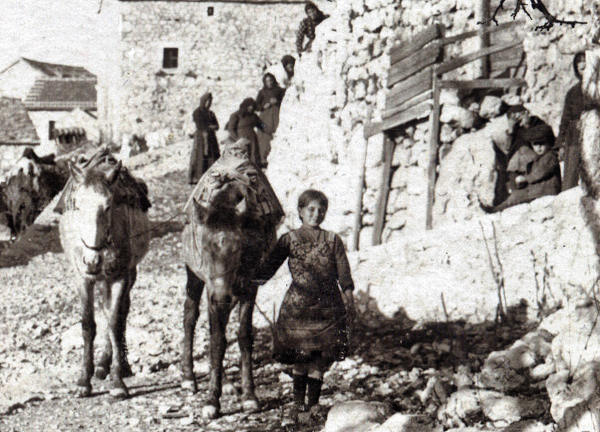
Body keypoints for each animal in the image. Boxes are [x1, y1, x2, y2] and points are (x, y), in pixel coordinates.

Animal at [58, 154, 150, 398]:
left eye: (108, 206)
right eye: (78, 206)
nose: (92, 261)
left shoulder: (120, 276)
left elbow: (114, 323)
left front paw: (118, 380)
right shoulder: (83, 278)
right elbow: (88, 325)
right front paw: (84, 380)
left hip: (129, 274)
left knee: (119, 313)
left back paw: (116, 365)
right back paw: (100, 365)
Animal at [181, 172, 279, 419]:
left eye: (238, 250)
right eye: (204, 248)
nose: (221, 297)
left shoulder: (249, 287)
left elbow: (243, 336)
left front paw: (249, 396)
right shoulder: (210, 289)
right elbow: (217, 340)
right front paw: (211, 401)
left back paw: (226, 383)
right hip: (194, 277)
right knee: (190, 317)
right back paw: (188, 377)